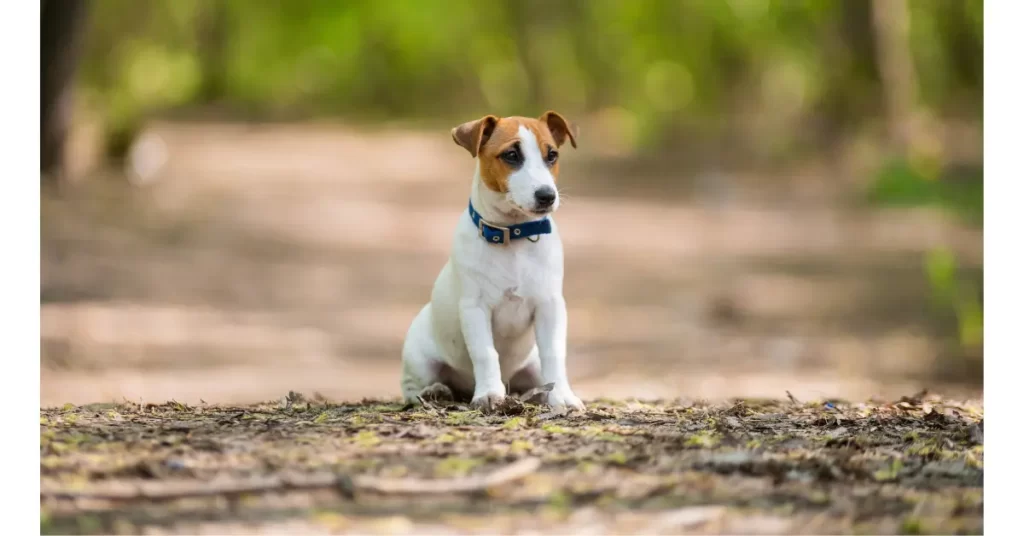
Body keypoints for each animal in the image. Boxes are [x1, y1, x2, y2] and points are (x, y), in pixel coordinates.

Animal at [403, 111, 589, 414]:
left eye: (552, 155)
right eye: (511, 155)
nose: (547, 195)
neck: (514, 235)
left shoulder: (550, 305)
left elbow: (554, 353)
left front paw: (562, 396)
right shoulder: (475, 308)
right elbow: (485, 353)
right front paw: (490, 393)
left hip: (530, 366)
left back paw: (536, 394)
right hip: (419, 360)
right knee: (412, 388)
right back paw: (435, 391)